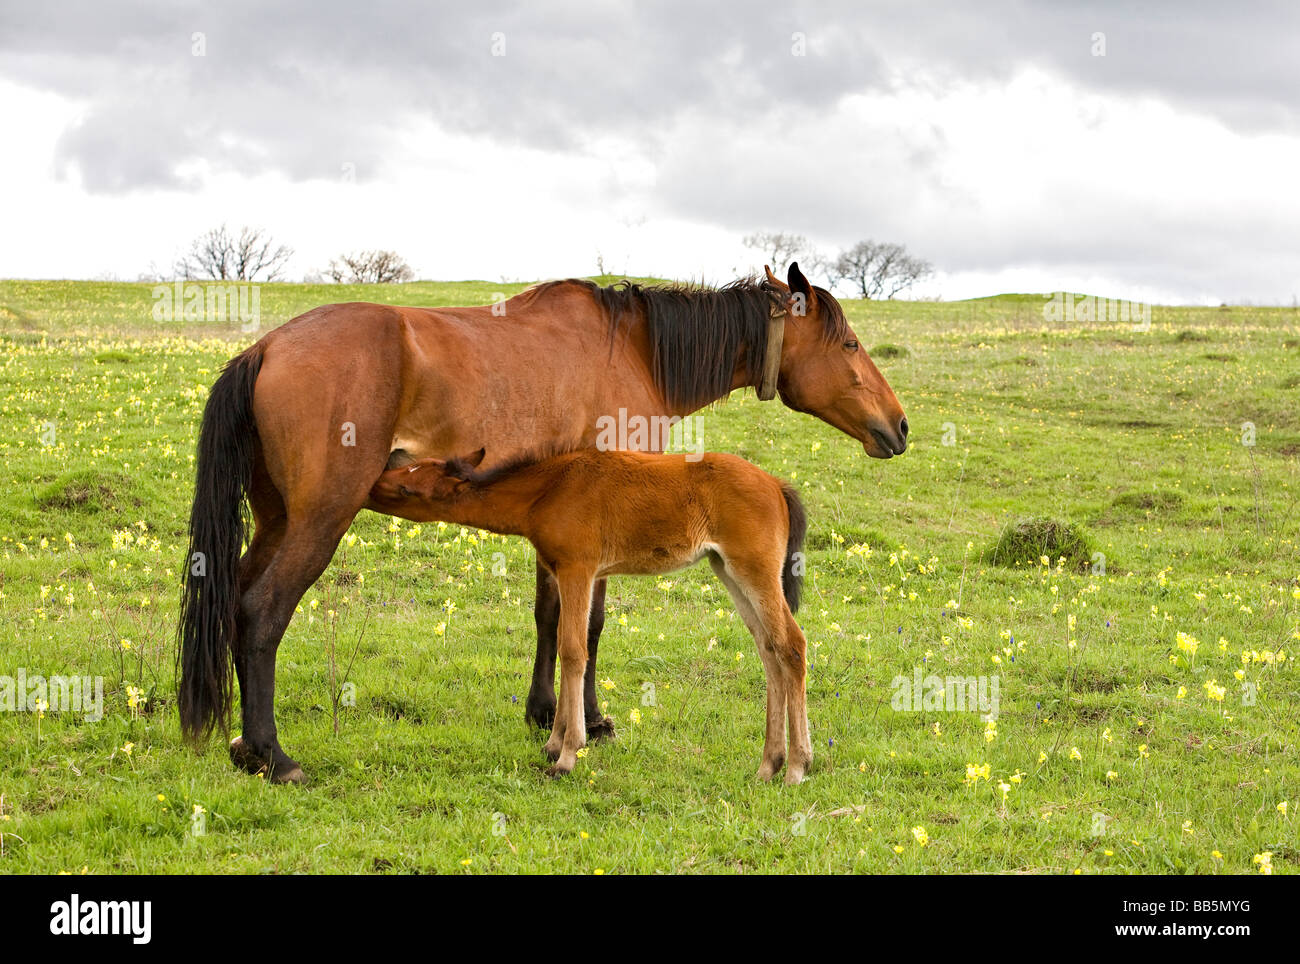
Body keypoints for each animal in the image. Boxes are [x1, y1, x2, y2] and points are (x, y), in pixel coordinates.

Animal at [369, 452, 811, 784]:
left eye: (409, 488)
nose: (372, 486)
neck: (548, 491)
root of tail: (777, 485)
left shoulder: (578, 569)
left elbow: (573, 651)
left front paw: (567, 754)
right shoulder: (566, 572)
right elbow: (566, 646)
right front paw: (553, 744)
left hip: (754, 569)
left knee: (792, 645)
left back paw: (797, 766)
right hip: (728, 569)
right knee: (768, 650)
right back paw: (768, 765)